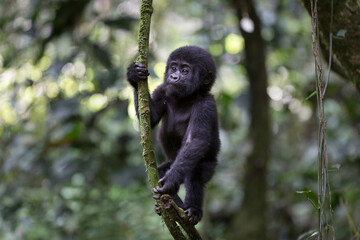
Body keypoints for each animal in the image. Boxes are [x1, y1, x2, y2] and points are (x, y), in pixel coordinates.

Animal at [128, 45, 221, 225]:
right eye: (173, 67)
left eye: (185, 71)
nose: (174, 76)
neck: (187, 98)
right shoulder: (163, 90)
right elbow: (150, 117)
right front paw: (134, 75)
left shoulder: (206, 105)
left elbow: (194, 140)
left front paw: (171, 181)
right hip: (170, 162)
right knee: (161, 171)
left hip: (210, 165)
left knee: (195, 176)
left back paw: (192, 210)